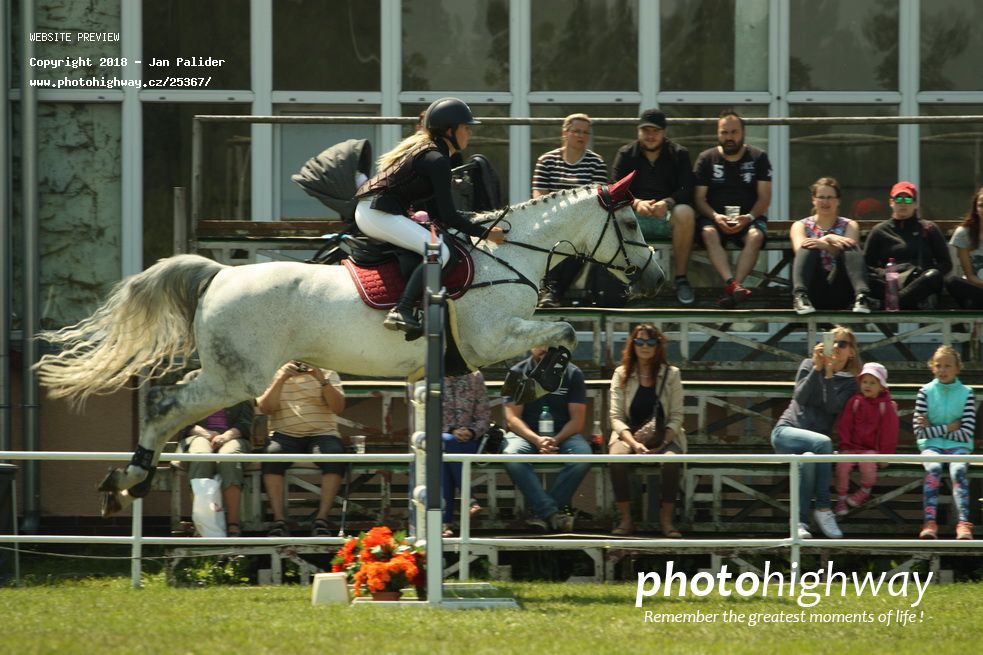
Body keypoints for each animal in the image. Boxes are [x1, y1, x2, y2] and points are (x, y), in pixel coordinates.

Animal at [35, 174, 662, 516]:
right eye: (633, 227)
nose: (655, 278)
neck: (506, 256)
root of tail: (219, 273)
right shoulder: (490, 339)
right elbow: (561, 333)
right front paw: (538, 378)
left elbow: (553, 335)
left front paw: (533, 378)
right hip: (237, 376)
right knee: (168, 405)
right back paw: (128, 480)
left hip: (230, 374)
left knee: (170, 406)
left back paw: (129, 481)